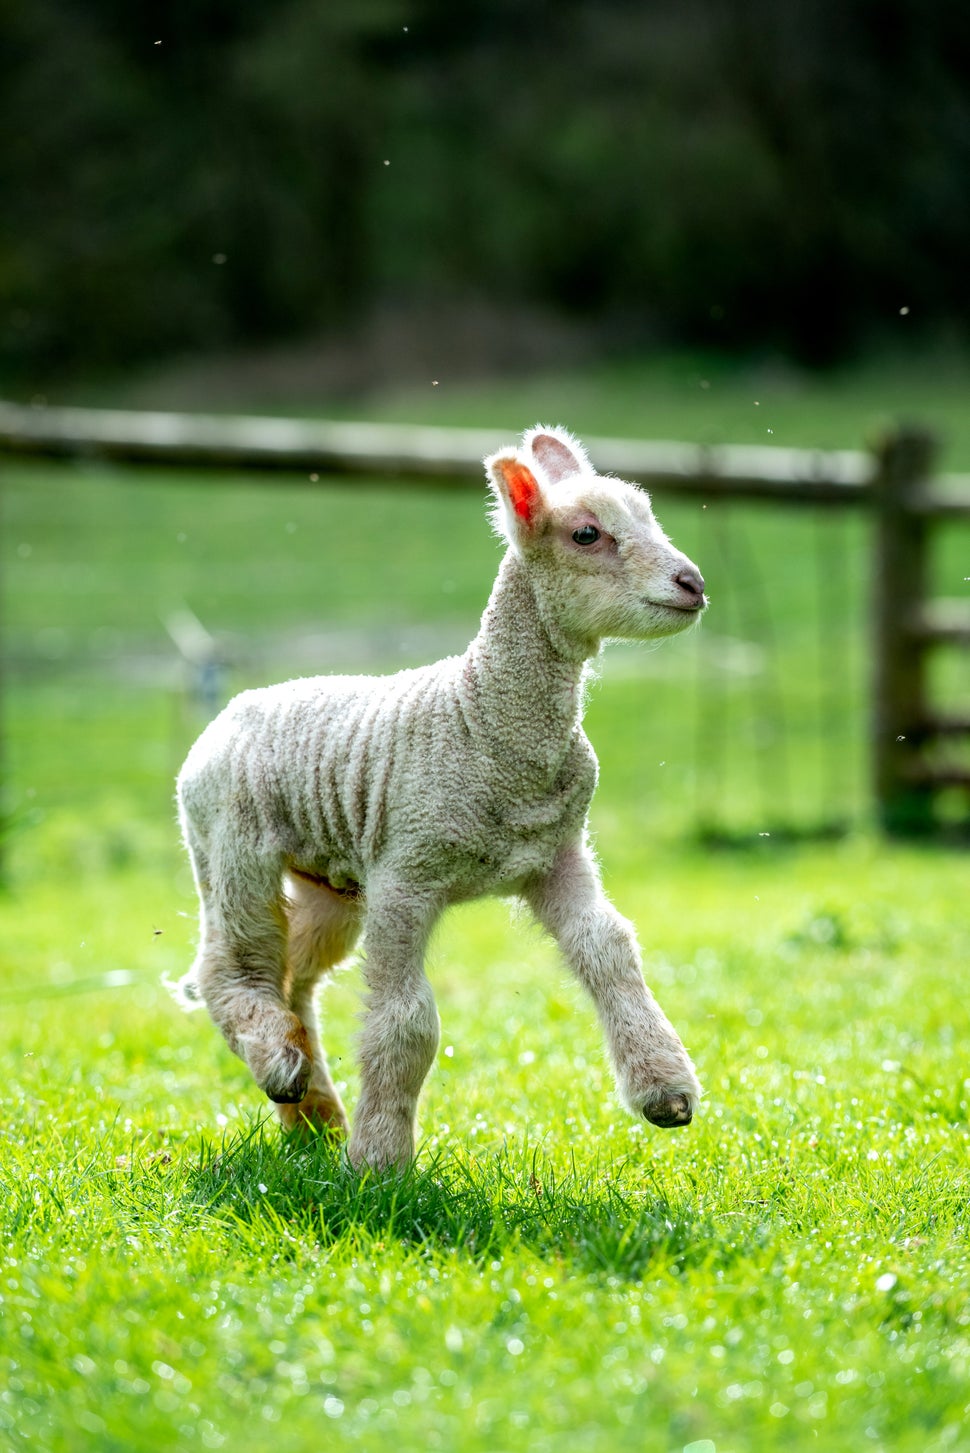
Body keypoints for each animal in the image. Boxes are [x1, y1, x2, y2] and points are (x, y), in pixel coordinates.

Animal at [174, 424, 705, 1174]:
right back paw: (280, 1065)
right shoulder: (407, 873)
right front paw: (381, 1162)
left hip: (332, 884)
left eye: (649, 514)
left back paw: (314, 1117)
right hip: (232, 844)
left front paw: (666, 1089)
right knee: (231, 966)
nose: (693, 584)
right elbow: (407, 1021)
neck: (480, 716)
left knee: (294, 976)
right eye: (586, 534)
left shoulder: (555, 854)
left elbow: (610, 948)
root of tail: (229, 711)